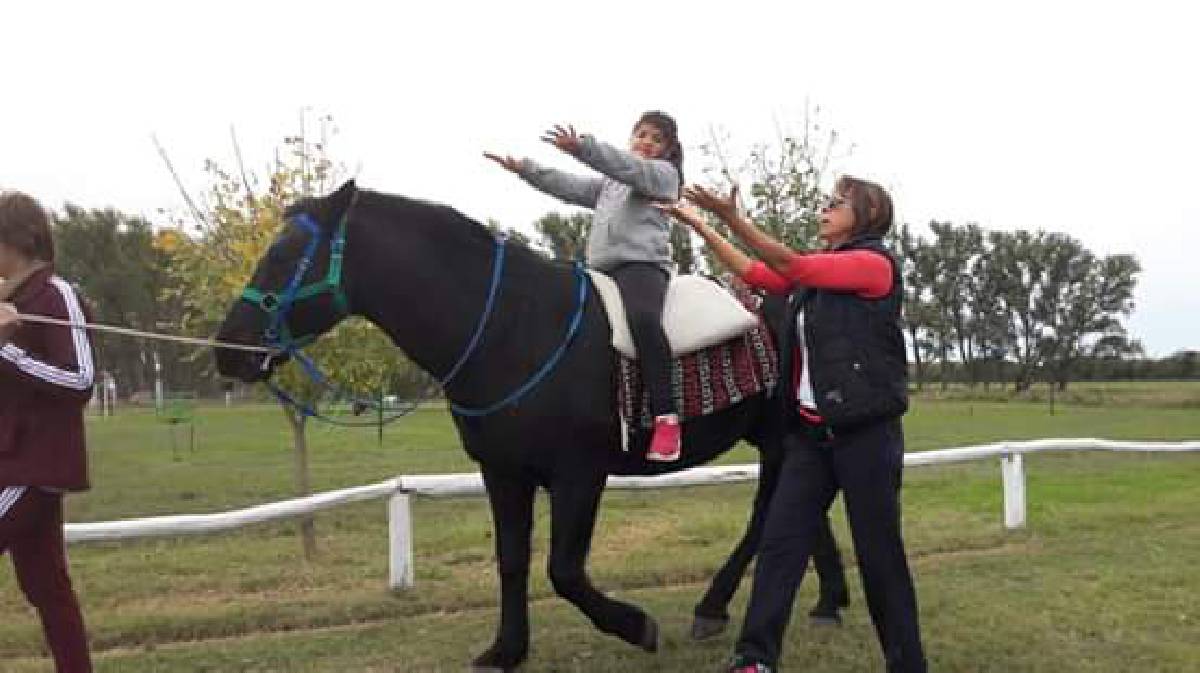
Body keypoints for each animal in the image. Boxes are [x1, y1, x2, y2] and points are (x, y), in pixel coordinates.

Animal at [213, 181, 844, 667]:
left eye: (284, 255)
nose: (227, 349)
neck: (511, 326)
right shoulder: (503, 472)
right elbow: (512, 560)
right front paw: (507, 649)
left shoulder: (578, 474)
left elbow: (563, 569)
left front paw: (635, 626)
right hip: (779, 436)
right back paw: (827, 602)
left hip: (777, 437)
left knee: (769, 516)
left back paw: (714, 606)